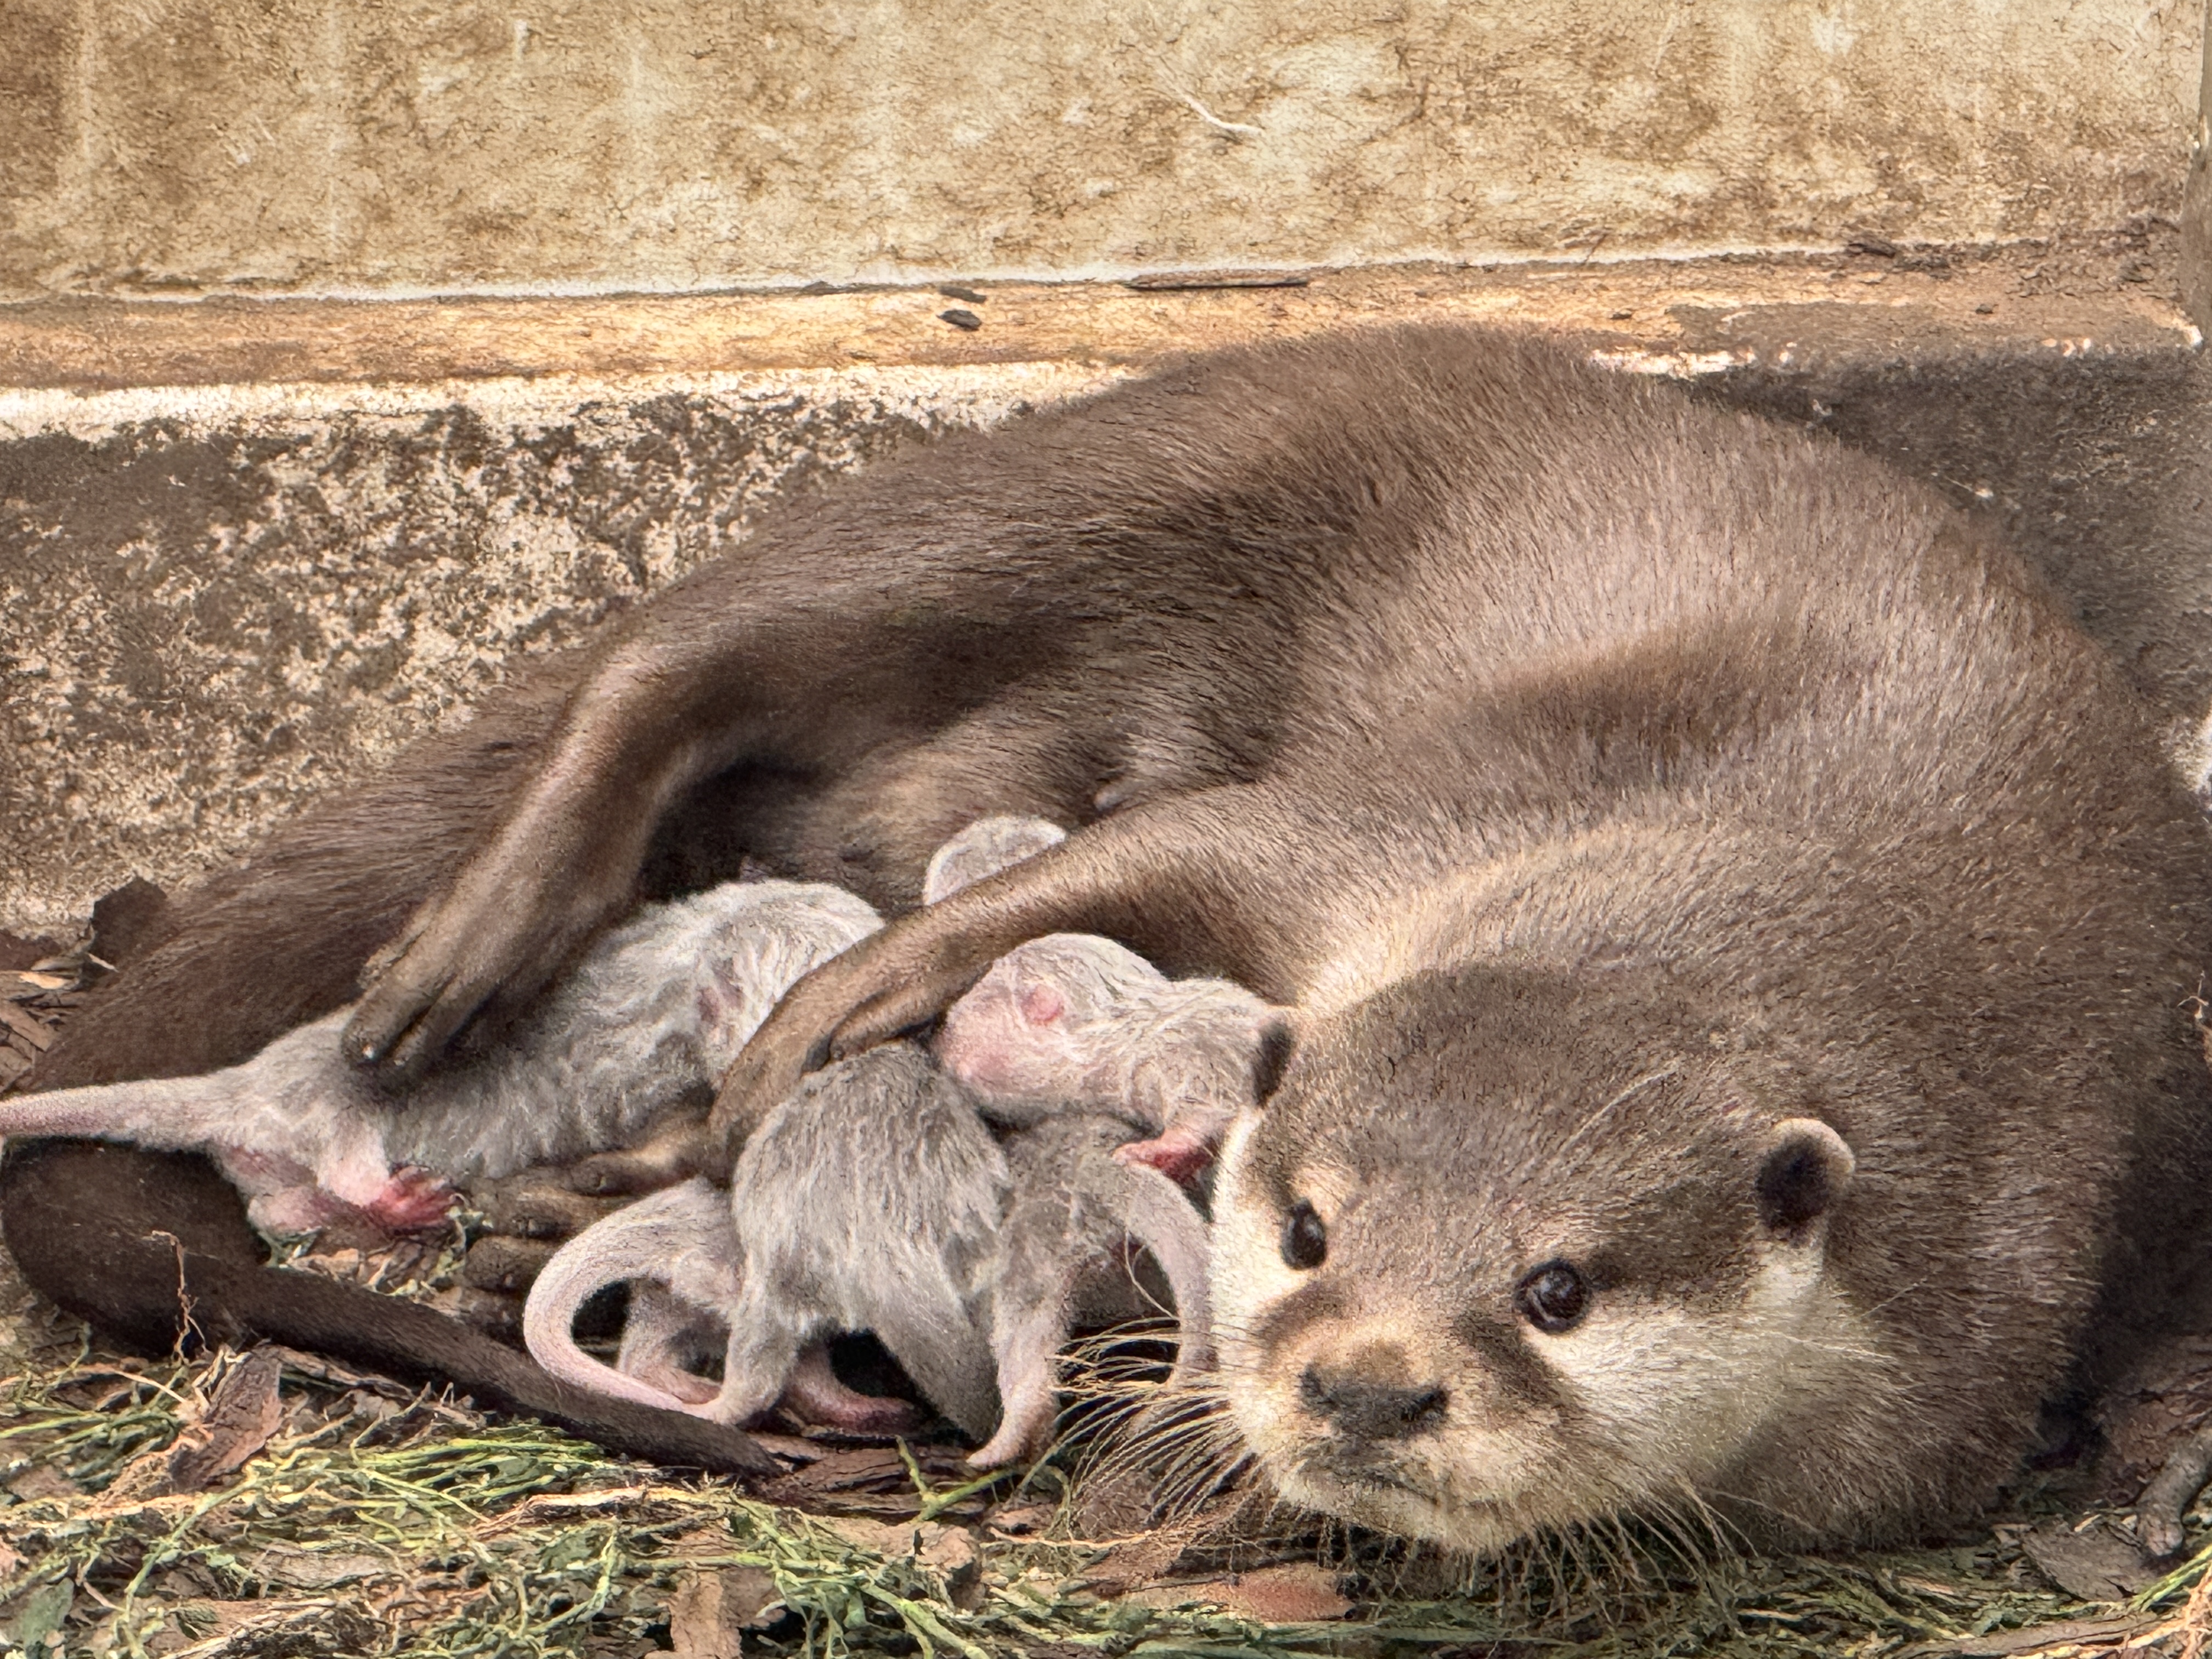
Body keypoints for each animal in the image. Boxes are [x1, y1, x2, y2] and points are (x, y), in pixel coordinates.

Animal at [10, 328, 2210, 1550]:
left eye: (1557, 1287)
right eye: (1306, 1223)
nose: (1369, 1385)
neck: (1780, 861)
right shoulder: (1418, 826)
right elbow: (1137, 865)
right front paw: (803, 1042)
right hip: (1083, 485)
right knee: (678, 648)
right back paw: (462, 954)